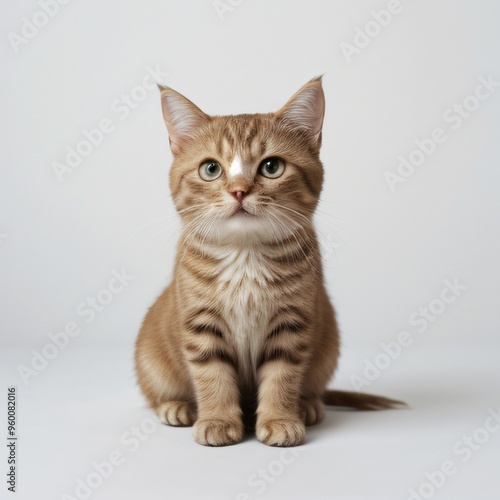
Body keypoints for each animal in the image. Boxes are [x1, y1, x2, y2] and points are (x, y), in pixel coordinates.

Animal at [134, 77, 402, 446]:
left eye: (271, 167)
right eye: (211, 169)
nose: (239, 190)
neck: (245, 256)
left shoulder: (292, 323)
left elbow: (281, 377)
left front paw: (280, 419)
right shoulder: (200, 324)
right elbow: (212, 375)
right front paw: (217, 419)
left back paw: (308, 406)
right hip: (150, 358)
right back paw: (177, 406)